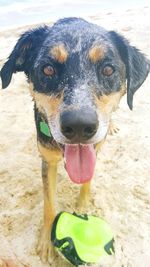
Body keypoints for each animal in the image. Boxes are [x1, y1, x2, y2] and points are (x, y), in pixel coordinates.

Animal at [0, 17, 149, 262]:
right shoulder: (48, 160)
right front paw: (47, 242)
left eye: (108, 69)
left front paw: (81, 208)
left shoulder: (94, 150)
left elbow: (86, 183)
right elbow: (49, 203)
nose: (79, 126)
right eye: (48, 69)